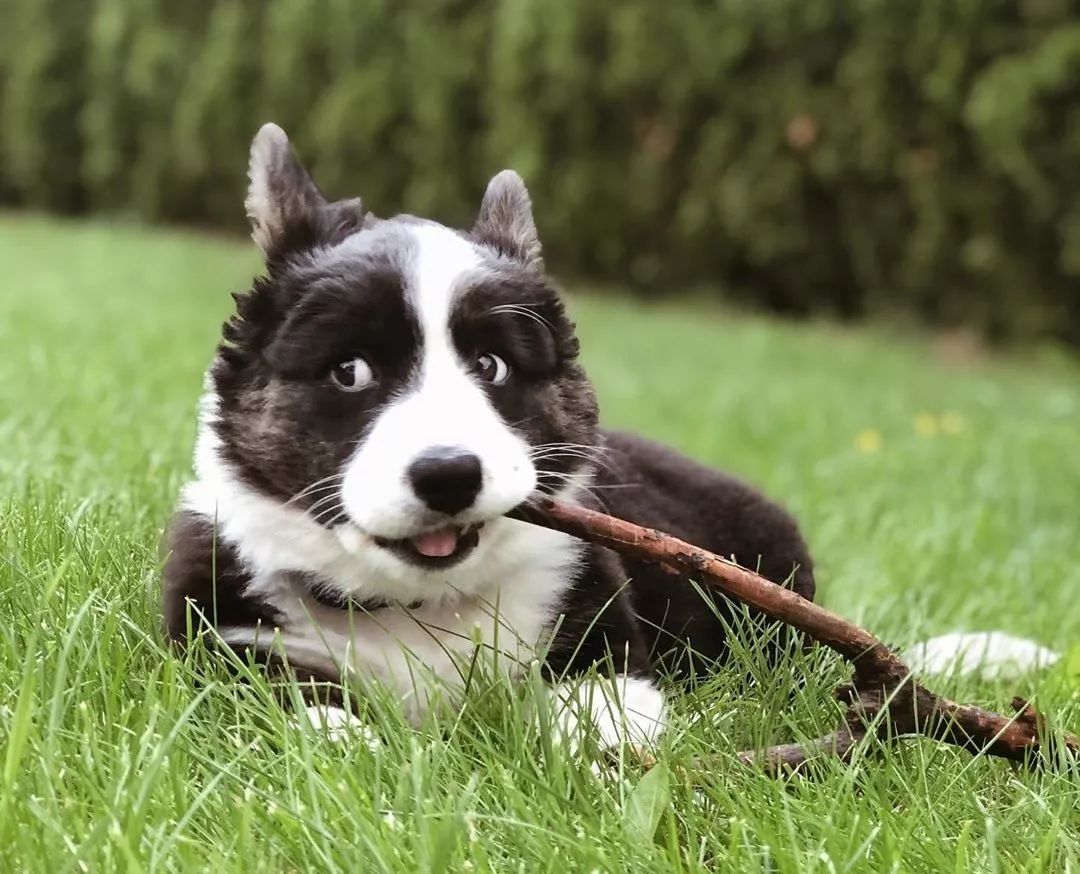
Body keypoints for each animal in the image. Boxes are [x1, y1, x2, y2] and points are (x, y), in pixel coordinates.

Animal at [159, 122, 812, 751]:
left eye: (492, 365)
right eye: (350, 371)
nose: (448, 475)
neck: (419, 603)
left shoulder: (603, 642)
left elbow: (601, 718)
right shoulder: (230, 645)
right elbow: (301, 712)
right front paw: (349, 745)